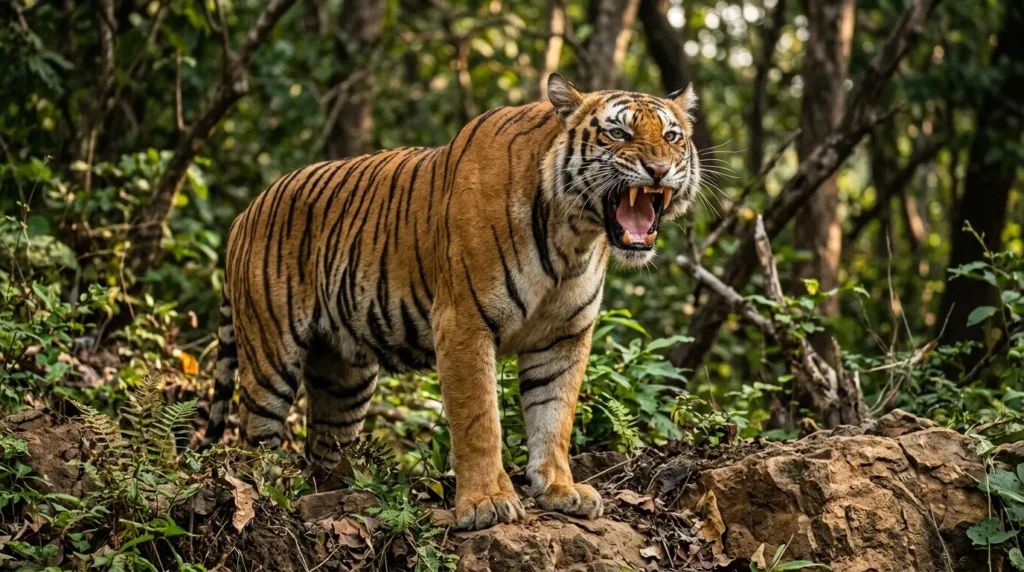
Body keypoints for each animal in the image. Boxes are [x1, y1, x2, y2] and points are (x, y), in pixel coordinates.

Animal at [202, 73, 701, 530]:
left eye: (671, 137)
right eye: (618, 133)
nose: (659, 169)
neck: (573, 235)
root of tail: (246, 211)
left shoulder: (564, 337)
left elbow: (554, 416)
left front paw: (560, 490)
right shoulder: (463, 322)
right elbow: (479, 419)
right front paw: (486, 503)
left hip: (346, 378)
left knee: (323, 448)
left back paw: (336, 496)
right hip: (270, 360)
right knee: (254, 440)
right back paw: (266, 495)